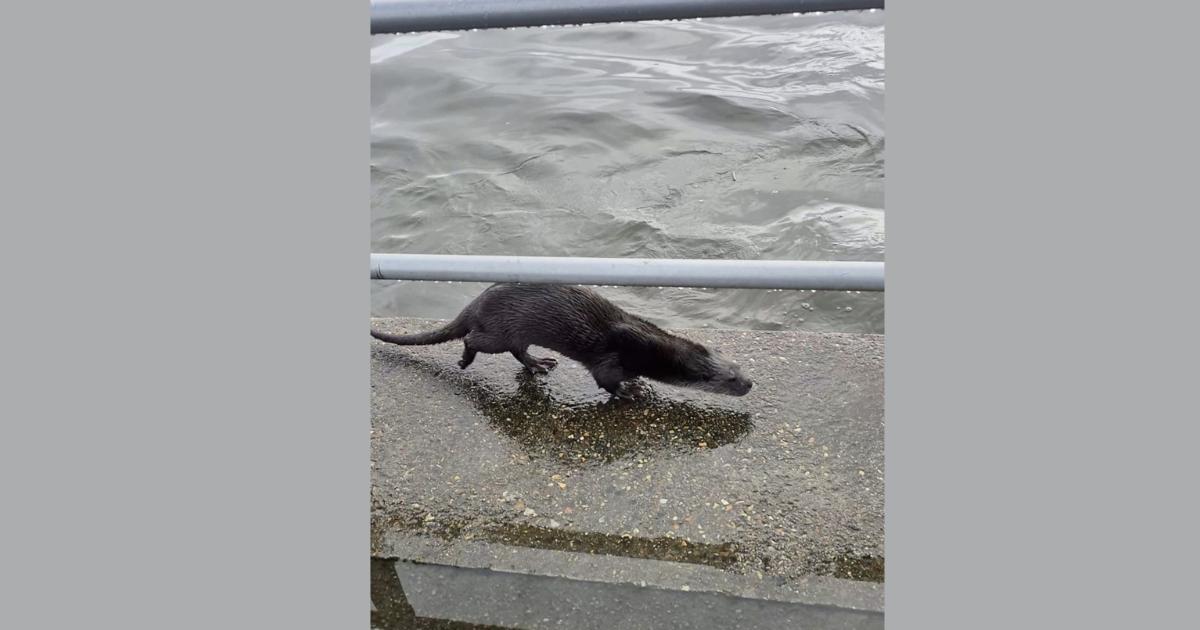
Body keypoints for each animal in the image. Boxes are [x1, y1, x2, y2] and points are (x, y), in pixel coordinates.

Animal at [370, 283, 752, 400]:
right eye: (731, 379)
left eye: (739, 366)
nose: (751, 383)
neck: (650, 347)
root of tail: (478, 300)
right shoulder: (613, 357)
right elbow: (605, 380)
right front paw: (631, 392)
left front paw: (637, 383)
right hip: (498, 331)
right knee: (476, 339)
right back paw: (465, 361)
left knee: (519, 351)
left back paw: (540, 364)